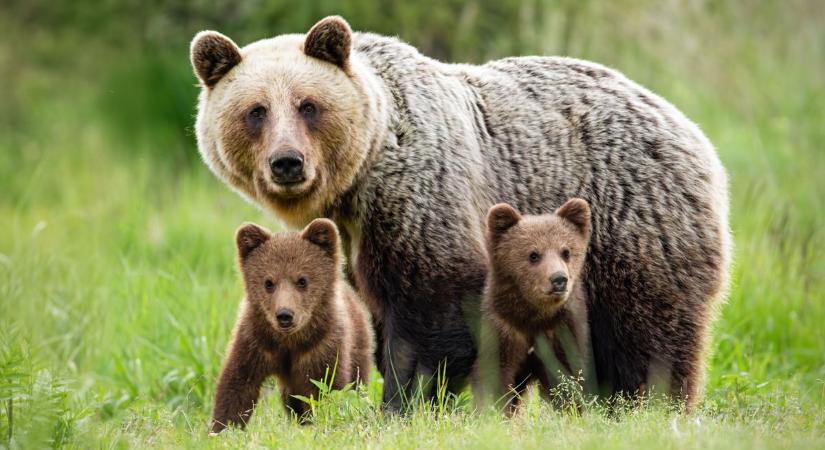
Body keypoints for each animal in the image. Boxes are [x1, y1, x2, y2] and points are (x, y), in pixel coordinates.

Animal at [190, 16, 732, 412]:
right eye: (256, 110)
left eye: (308, 105)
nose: (287, 162)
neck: (358, 184)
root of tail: (687, 126)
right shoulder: (358, 241)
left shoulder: (421, 199)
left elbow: (432, 310)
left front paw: (402, 405)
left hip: (634, 225)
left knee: (648, 336)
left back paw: (647, 406)